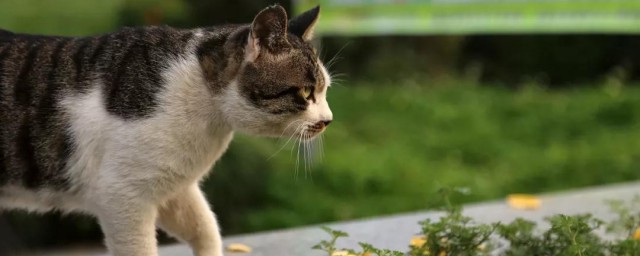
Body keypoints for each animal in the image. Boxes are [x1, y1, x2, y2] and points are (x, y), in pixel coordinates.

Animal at [0, 4, 330, 256]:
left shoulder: (174, 186)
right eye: (305, 92)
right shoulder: (122, 195)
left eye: (325, 90)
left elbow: (206, 228)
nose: (328, 119)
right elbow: (141, 249)